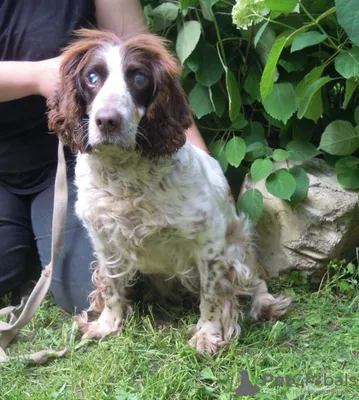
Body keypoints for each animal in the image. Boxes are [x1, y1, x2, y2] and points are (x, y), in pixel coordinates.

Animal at [47, 30, 292, 354]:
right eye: (92, 77)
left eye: (139, 77)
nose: (108, 121)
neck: (125, 177)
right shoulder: (103, 239)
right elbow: (111, 286)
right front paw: (107, 325)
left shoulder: (209, 243)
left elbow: (212, 296)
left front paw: (208, 334)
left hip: (239, 244)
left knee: (254, 280)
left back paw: (266, 304)